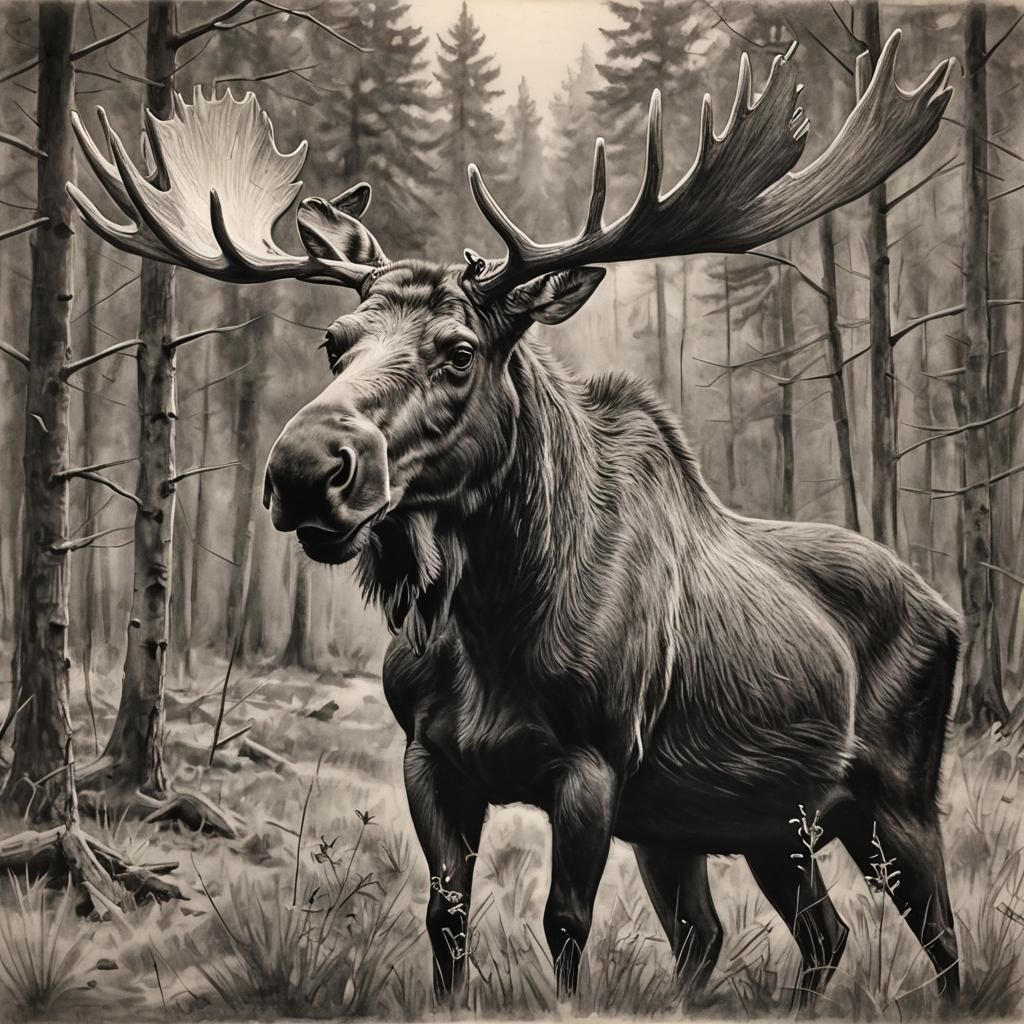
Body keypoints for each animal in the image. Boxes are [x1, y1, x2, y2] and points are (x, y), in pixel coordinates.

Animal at [70, 31, 960, 1007]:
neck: (493, 622)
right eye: (334, 343)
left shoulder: (591, 766)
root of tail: (949, 611)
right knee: (784, 935)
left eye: (460, 351)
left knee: (940, 938)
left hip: (893, 799)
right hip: (747, 823)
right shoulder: (431, 757)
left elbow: (564, 927)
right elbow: (446, 918)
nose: (304, 470)